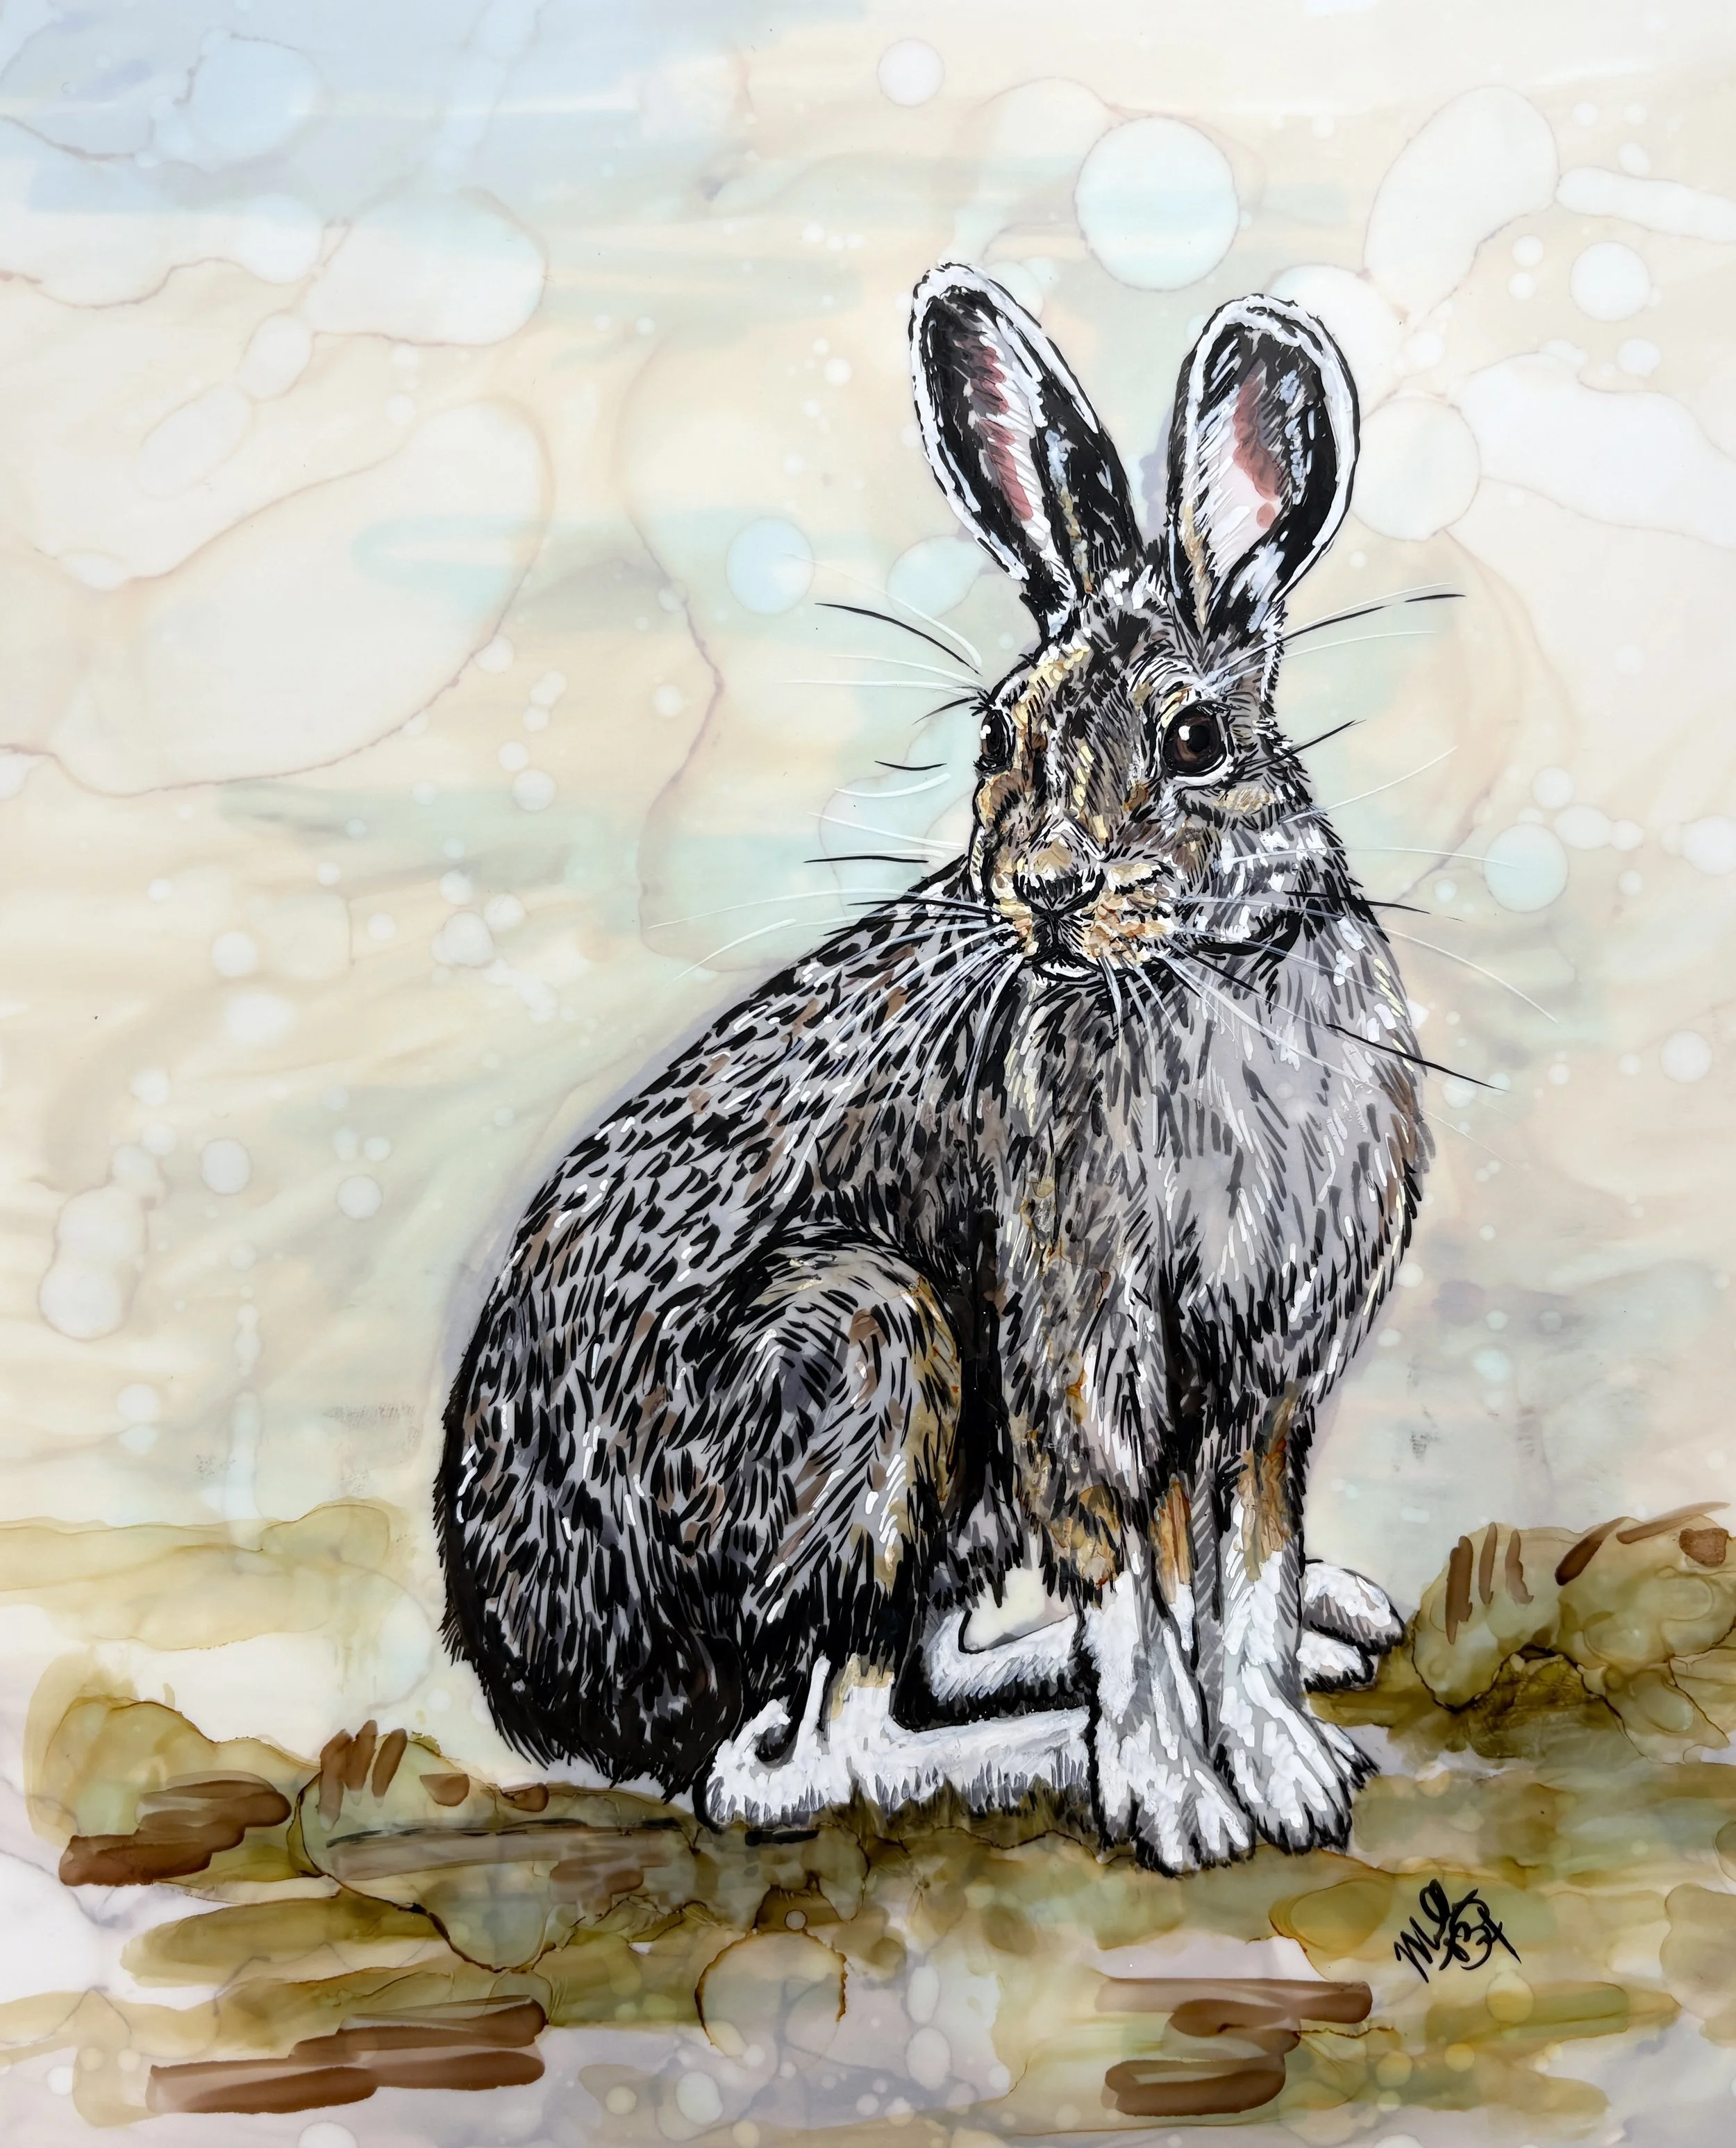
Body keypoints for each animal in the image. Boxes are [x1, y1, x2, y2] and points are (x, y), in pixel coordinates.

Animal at [436, 262, 1428, 1873]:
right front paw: (1182, 1794)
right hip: (874, 1352)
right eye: (996, 732)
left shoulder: (1270, 1370)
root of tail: (538, 1665)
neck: (1203, 971)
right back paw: (1054, 1751)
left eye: (1194, 737)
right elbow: (1137, 1582)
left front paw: (1283, 1759)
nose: (1039, 889)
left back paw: (1331, 1625)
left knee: (907, 1677)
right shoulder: (1079, 1340)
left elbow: (1249, 1573)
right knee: (805, 1761)